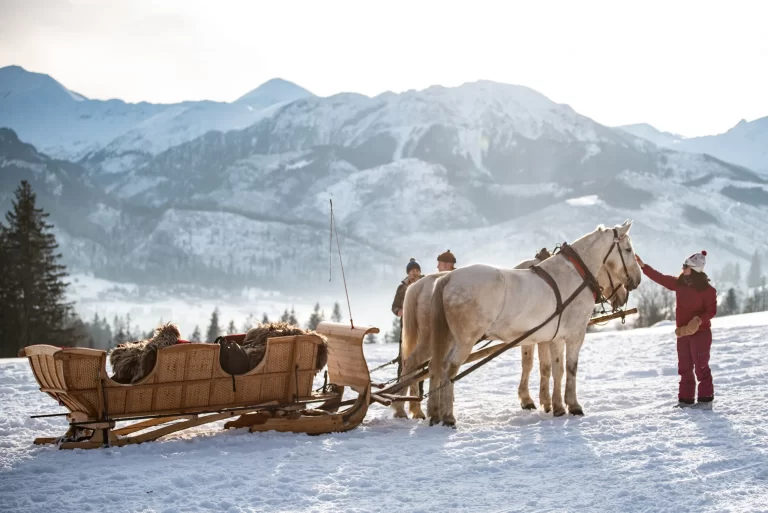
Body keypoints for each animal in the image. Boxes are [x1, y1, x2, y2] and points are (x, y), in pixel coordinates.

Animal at [426, 222, 640, 426]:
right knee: (450, 367)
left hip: (451, 337)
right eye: (628, 249)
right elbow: (570, 368)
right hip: (466, 340)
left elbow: (556, 370)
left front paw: (557, 406)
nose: (637, 280)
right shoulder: (575, 334)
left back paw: (436, 413)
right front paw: (573, 405)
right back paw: (448, 416)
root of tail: (449, 277)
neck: (574, 274)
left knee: (437, 366)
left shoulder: (554, 337)